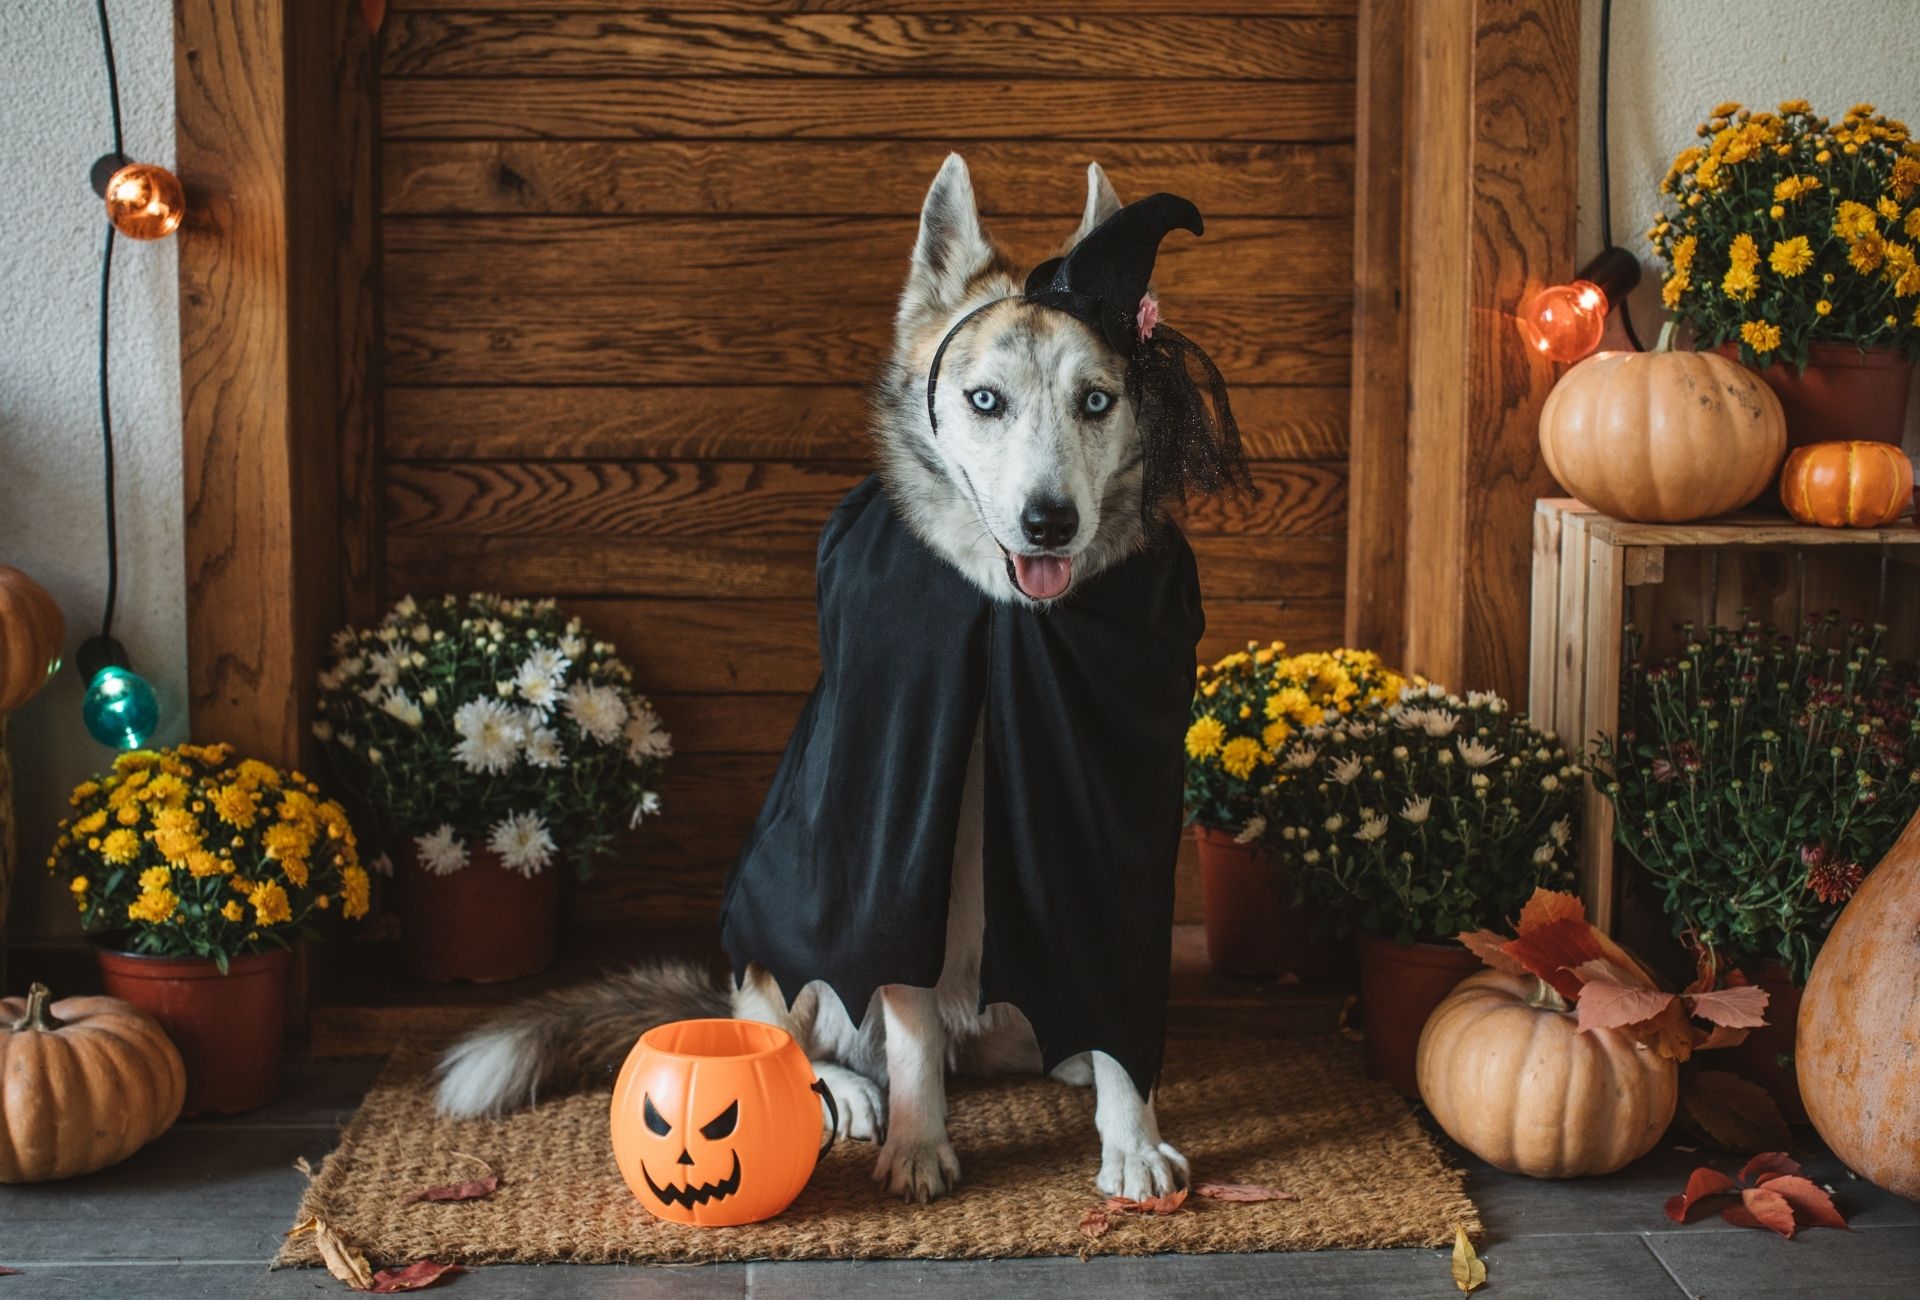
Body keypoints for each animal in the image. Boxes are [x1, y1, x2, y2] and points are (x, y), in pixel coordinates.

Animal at [439, 157, 1182, 1198]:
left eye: (1097, 402)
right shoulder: (893, 851)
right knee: (779, 1033)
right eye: (985, 401)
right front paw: (917, 1144)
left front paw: (1130, 1138)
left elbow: (1115, 1015)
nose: (1050, 523)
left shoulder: (1110, 836)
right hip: (774, 948)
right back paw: (848, 1091)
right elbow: (903, 1021)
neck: (1006, 629)